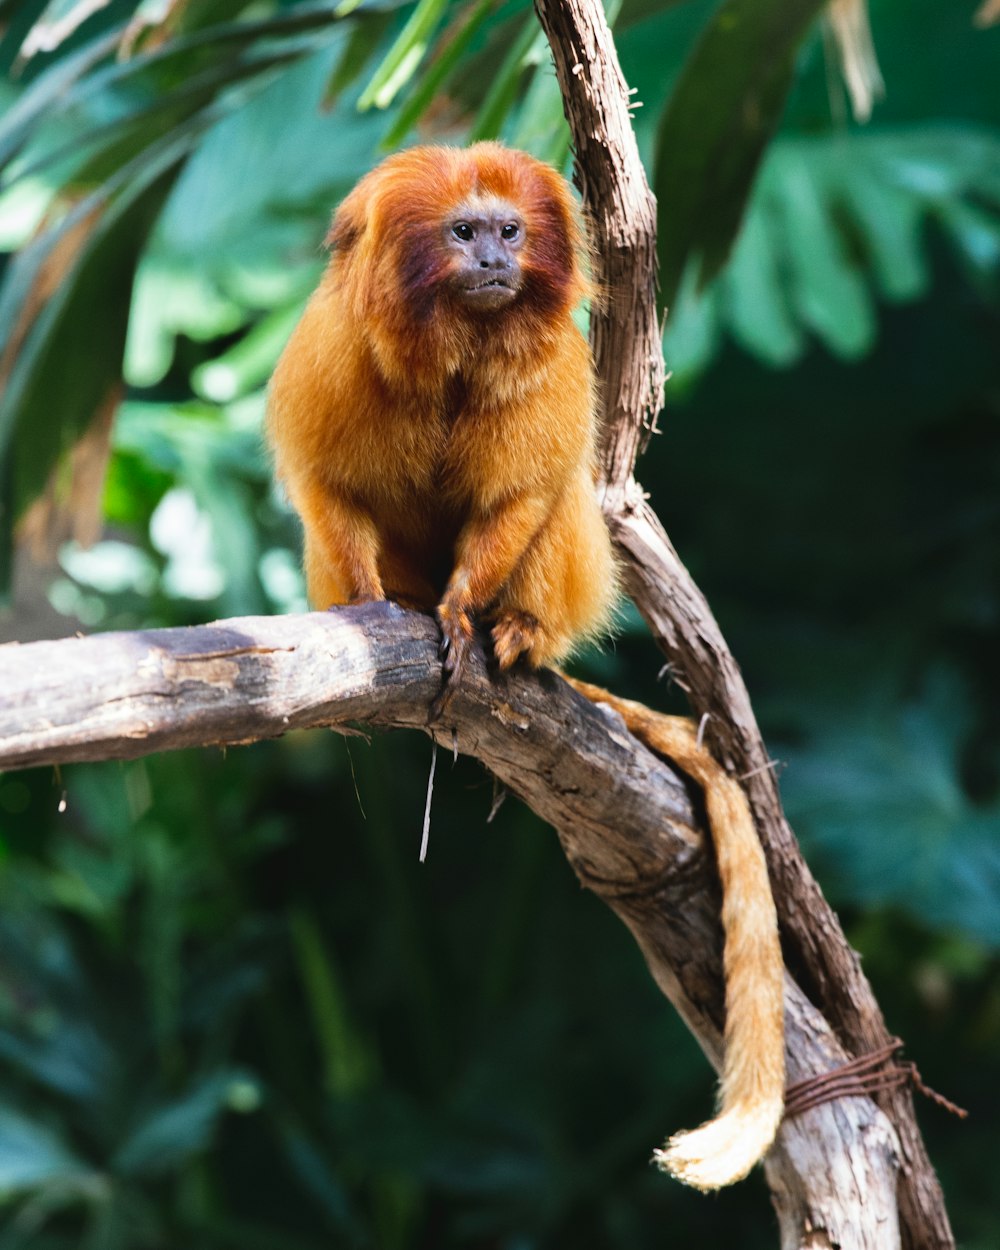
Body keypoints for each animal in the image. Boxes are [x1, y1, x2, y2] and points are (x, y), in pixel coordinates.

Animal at [267, 141, 790, 1195]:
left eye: (511, 231)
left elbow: (520, 496)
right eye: (463, 232)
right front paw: (367, 610)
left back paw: (513, 634)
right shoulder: (335, 355)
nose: (493, 260)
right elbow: (332, 489)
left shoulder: (551, 378)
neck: (457, 341)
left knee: (563, 508)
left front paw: (470, 616)